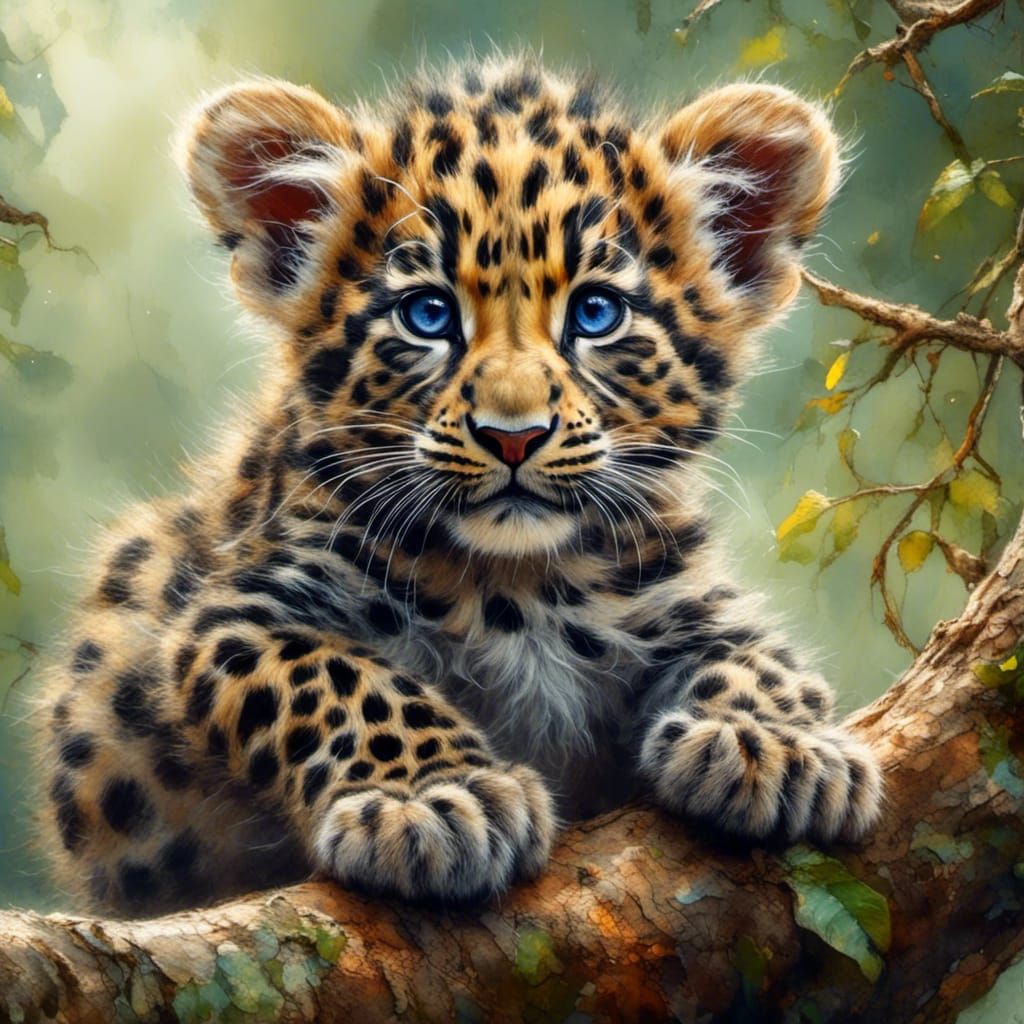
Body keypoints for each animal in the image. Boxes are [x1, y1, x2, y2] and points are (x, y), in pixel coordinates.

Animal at [36, 52, 882, 917]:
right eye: (428, 315)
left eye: (597, 312)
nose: (513, 436)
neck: (521, 582)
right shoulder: (236, 617)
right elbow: (349, 679)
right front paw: (435, 801)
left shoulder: (688, 595)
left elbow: (762, 658)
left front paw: (773, 744)